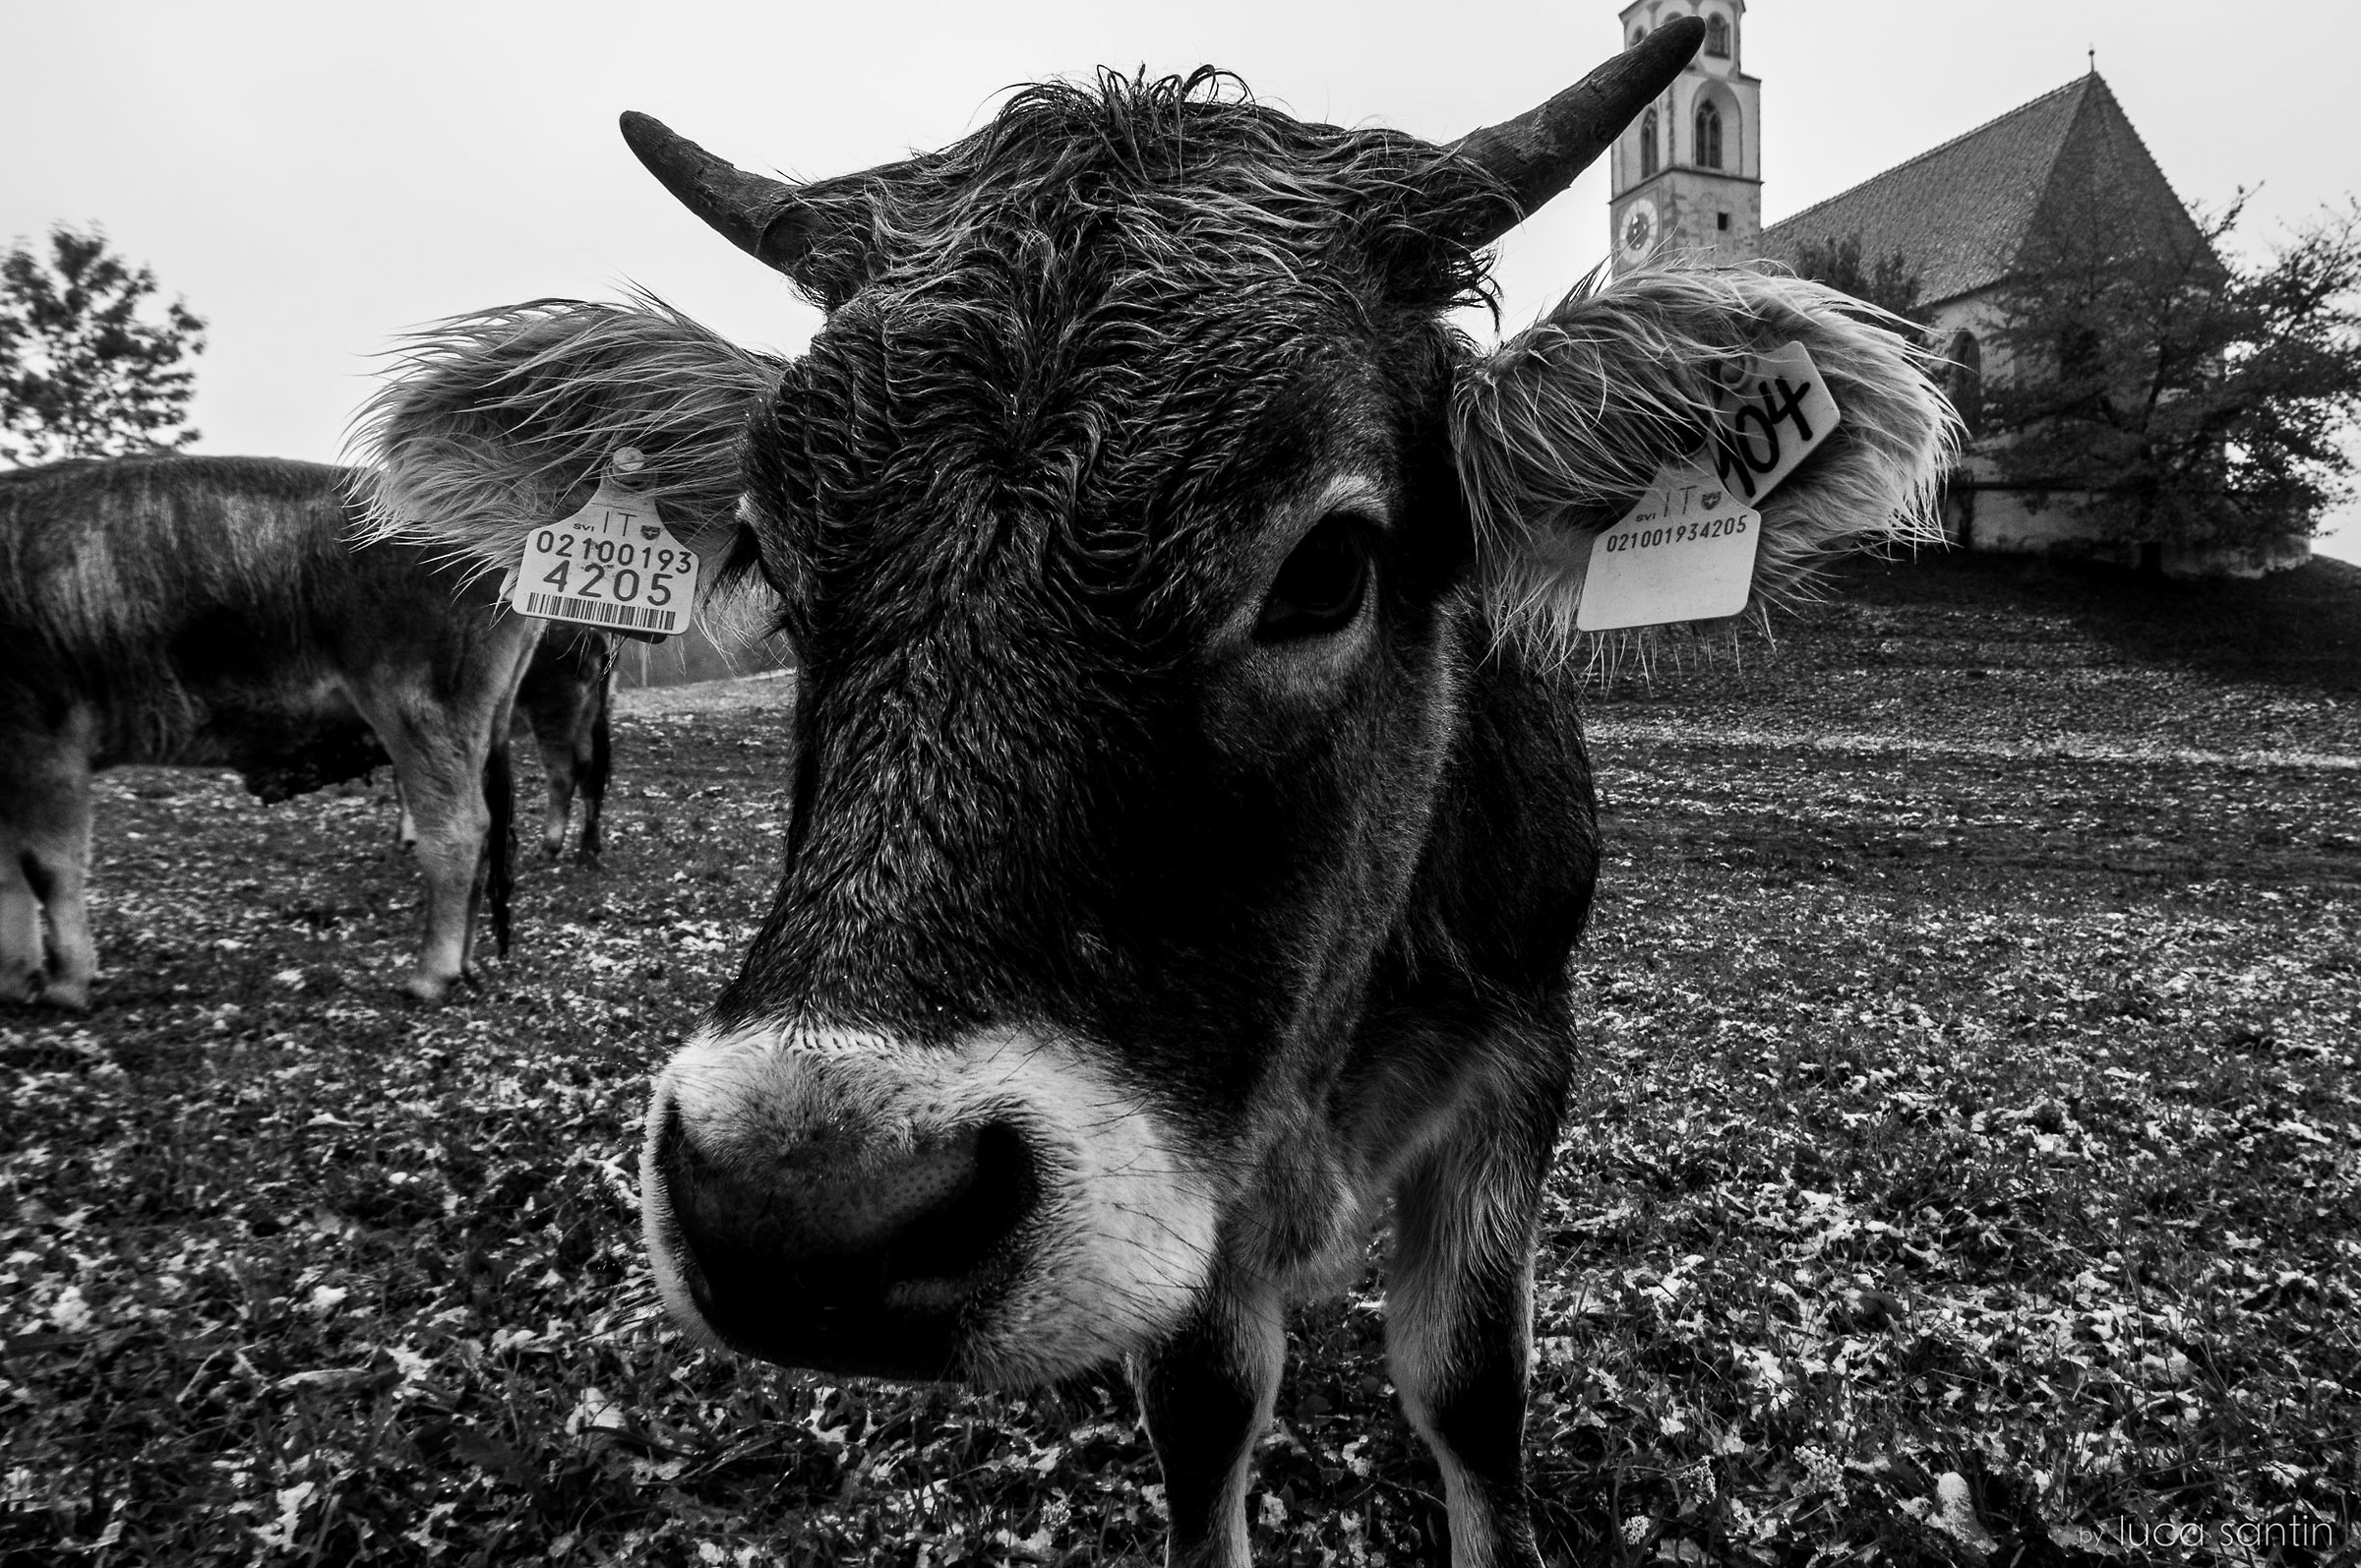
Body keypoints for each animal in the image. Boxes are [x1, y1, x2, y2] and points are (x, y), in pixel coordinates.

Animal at [367, 23, 1956, 1567]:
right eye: (765, 552)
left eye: (1331, 565)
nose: (806, 1205)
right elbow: (1205, 1409)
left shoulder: (1521, 1052)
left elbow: (1465, 1383)